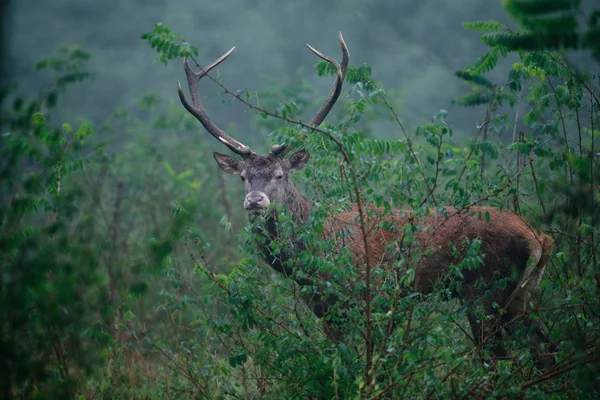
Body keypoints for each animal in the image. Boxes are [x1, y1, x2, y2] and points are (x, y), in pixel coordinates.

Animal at [176, 32, 556, 360]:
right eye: (243, 177)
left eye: (280, 175)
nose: (255, 201)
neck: (312, 256)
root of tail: (538, 237)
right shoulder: (324, 307)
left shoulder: (369, 296)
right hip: (521, 296)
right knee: (544, 349)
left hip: (485, 292)